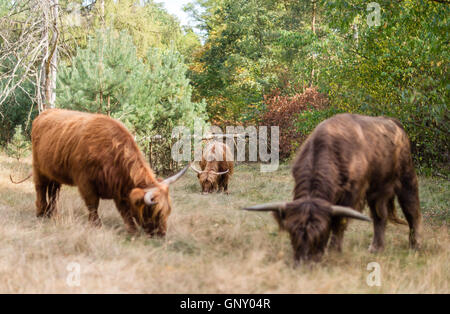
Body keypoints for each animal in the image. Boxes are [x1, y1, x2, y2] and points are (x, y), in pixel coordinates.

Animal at [30, 108, 188, 236]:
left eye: (168, 210)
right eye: (154, 212)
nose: (161, 234)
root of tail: (45, 113)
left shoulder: (119, 186)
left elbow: (125, 210)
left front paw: (132, 231)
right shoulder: (85, 182)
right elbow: (93, 204)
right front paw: (96, 225)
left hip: (54, 172)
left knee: (54, 192)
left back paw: (53, 214)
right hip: (38, 167)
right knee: (40, 188)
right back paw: (41, 213)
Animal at [244, 114, 420, 262]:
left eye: (322, 233)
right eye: (292, 232)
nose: (305, 260)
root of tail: (393, 123)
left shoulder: (352, 194)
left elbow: (340, 221)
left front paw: (334, 250)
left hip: (406, 179)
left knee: (412, 211)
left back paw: (415, 246)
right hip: (377, 190)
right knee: (380, 216)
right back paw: (376, 247)